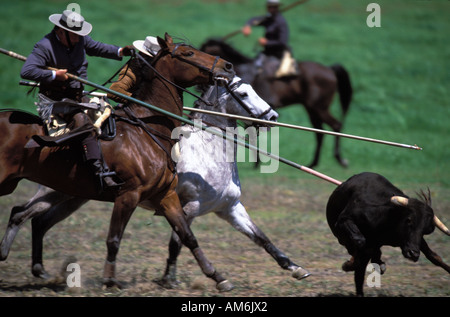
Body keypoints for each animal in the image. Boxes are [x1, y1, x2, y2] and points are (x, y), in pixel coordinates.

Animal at [0, 33, 237, 290]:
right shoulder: (128, 196)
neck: (146, 131)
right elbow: (114, 239)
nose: (227, 66)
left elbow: (187, 236)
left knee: (22, 214)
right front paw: (110, 280)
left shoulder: (166, 195)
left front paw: (218, 277)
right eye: (188, 53)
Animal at [0, 76, 310, 286]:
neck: (209, 152)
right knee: (28, 216)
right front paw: (169, 278)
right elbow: (178, 242)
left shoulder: (229, 208)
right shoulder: (190, 206)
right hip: (60, 193)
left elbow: (262, 238)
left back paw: (39, 270)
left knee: (33, 218)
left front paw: (295, 268)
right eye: (244, 92)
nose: (273, 116)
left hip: (71, 196)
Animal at [200, 38, 352, 168]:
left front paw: (257, 162)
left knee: (336, 125)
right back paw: (314, 163)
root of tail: (330, 69)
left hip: (319, 108)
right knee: (320, 132)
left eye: (204, 50)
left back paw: (340, 160)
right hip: (312, 109)